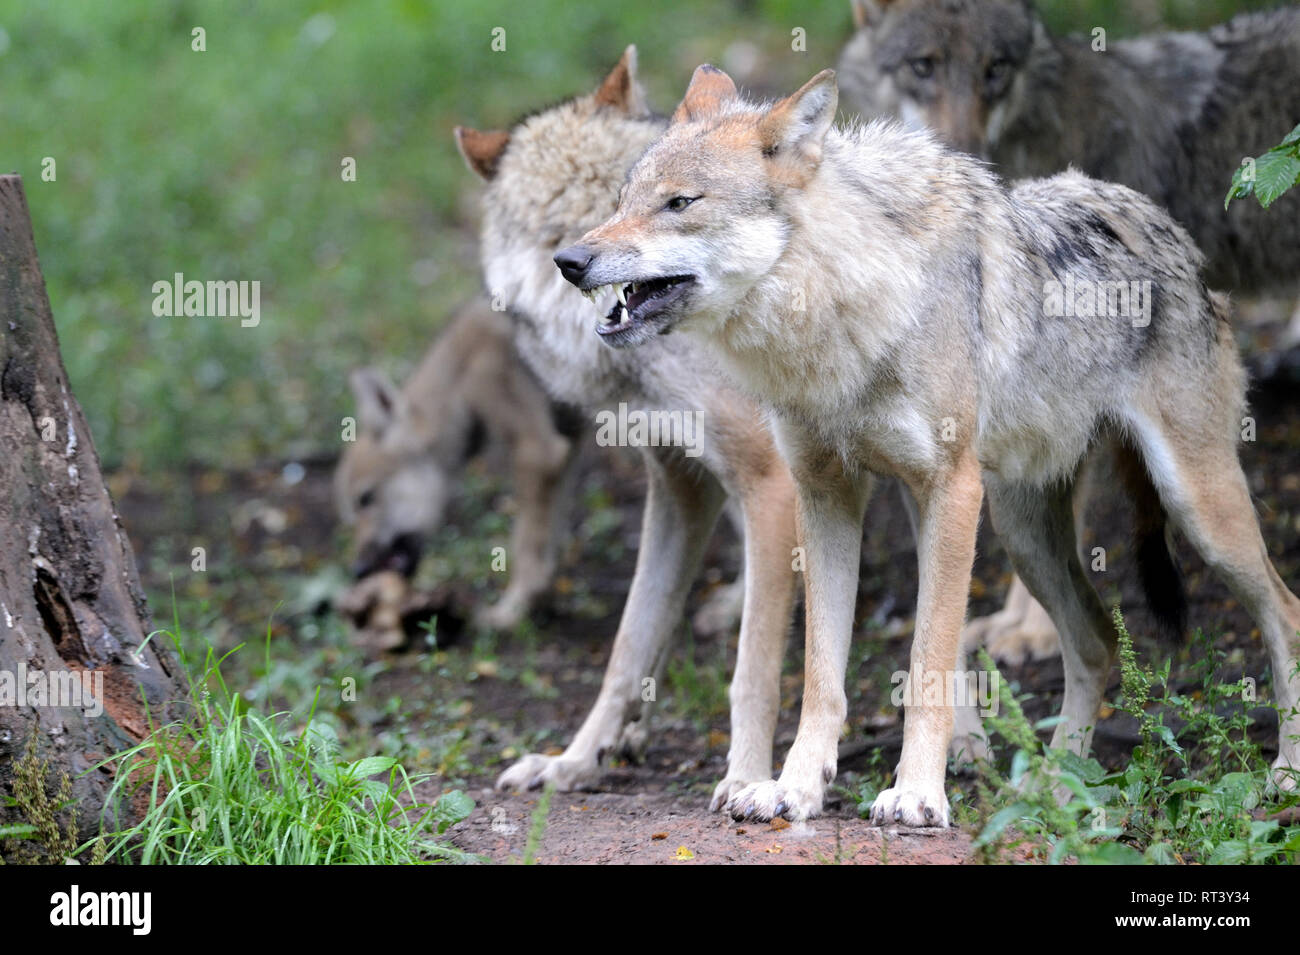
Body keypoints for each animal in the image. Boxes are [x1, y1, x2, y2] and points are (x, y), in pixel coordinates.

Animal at [335, 302, 579, 631]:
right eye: (350, 515)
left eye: (366, 498)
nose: (358, 570)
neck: (457, 373)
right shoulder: (570, 443)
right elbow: (551, 537)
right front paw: (539, 602)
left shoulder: (539, 451)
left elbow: (526, 545)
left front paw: (511, 611)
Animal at [454, 46, 800, 805]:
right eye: (620, 203)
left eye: (670, 205)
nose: (572, 263)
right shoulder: (682, 488)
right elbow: (629, 648)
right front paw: (577, 761)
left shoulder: (773, 484)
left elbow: (754, 664)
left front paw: (748, 778)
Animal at [559, 63, 1300, 826]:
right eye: (623, 199)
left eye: (679, 203)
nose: (569, 259)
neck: (841, 306)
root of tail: (1165, 225)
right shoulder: (824, 495)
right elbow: (821, 675)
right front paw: (794, 788)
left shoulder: (948, 488)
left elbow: (929, 663)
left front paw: (917, 793)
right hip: (1024, 533)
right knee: (1096, 641)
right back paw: (1056, 787)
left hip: (1196, 510)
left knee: (1286, 613)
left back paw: (1282, 774)